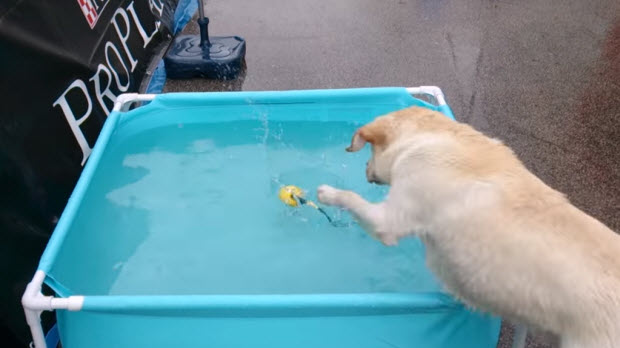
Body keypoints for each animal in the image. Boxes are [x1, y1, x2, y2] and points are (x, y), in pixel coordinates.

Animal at [320, 106, 620, 348]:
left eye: (370, 151)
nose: (365, 169)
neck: (432, 137)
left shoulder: (390, 219)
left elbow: (352, 199)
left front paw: (328, 193)